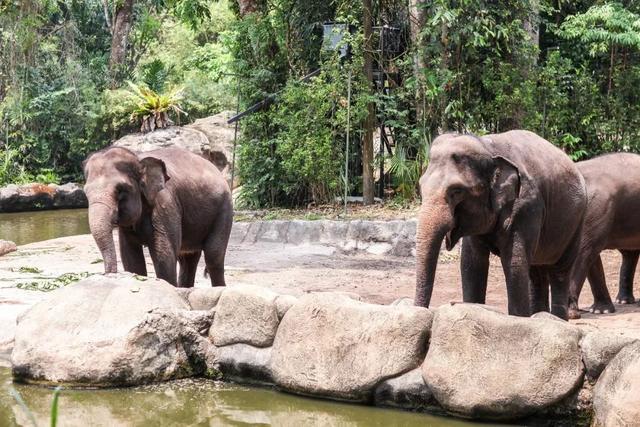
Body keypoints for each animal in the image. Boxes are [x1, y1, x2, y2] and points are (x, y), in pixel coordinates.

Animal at [84, 145, 234, 290]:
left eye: (121, 190)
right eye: (86, 192)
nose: (110, 274)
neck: (137, 157)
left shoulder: (165, 203)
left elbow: (164, 256)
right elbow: (130, 257)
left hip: (224, 209)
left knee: (213, 255)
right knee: (187, 258)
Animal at [418, 130, 588, 320]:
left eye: (456, 191)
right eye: (420, 186)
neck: (487, 147)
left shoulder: (525, 207)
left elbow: (514, 263)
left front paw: (517, 319)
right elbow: (471, 263)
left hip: (577, 222)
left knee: (559, 272)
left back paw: (556, 319)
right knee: (536, 273)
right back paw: (540, 315)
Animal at [564, 153, 640, 318]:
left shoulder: (596, 208)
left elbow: (583, 253)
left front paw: (569, 314)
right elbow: (591, 257)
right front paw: (601, 311)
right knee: (630, 253)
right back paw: (623, 301)